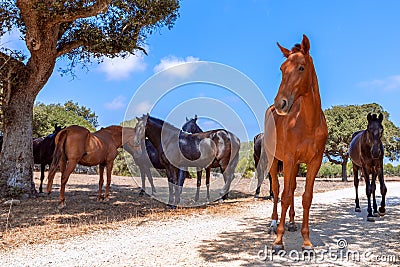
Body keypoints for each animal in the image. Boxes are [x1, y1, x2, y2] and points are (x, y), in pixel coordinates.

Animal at [262, 34, 328, 252]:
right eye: (282, 68)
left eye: (301, 67)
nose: (281, 103)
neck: (308, 123)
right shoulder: (289, 159)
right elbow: (283, 196)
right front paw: (278, 241)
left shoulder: (313, 162)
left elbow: (305, 197)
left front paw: (306, 242)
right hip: (274, 160)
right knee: (276, 190)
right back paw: (274, 224)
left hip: (296, 164)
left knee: (291, 190)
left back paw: (291, 223)